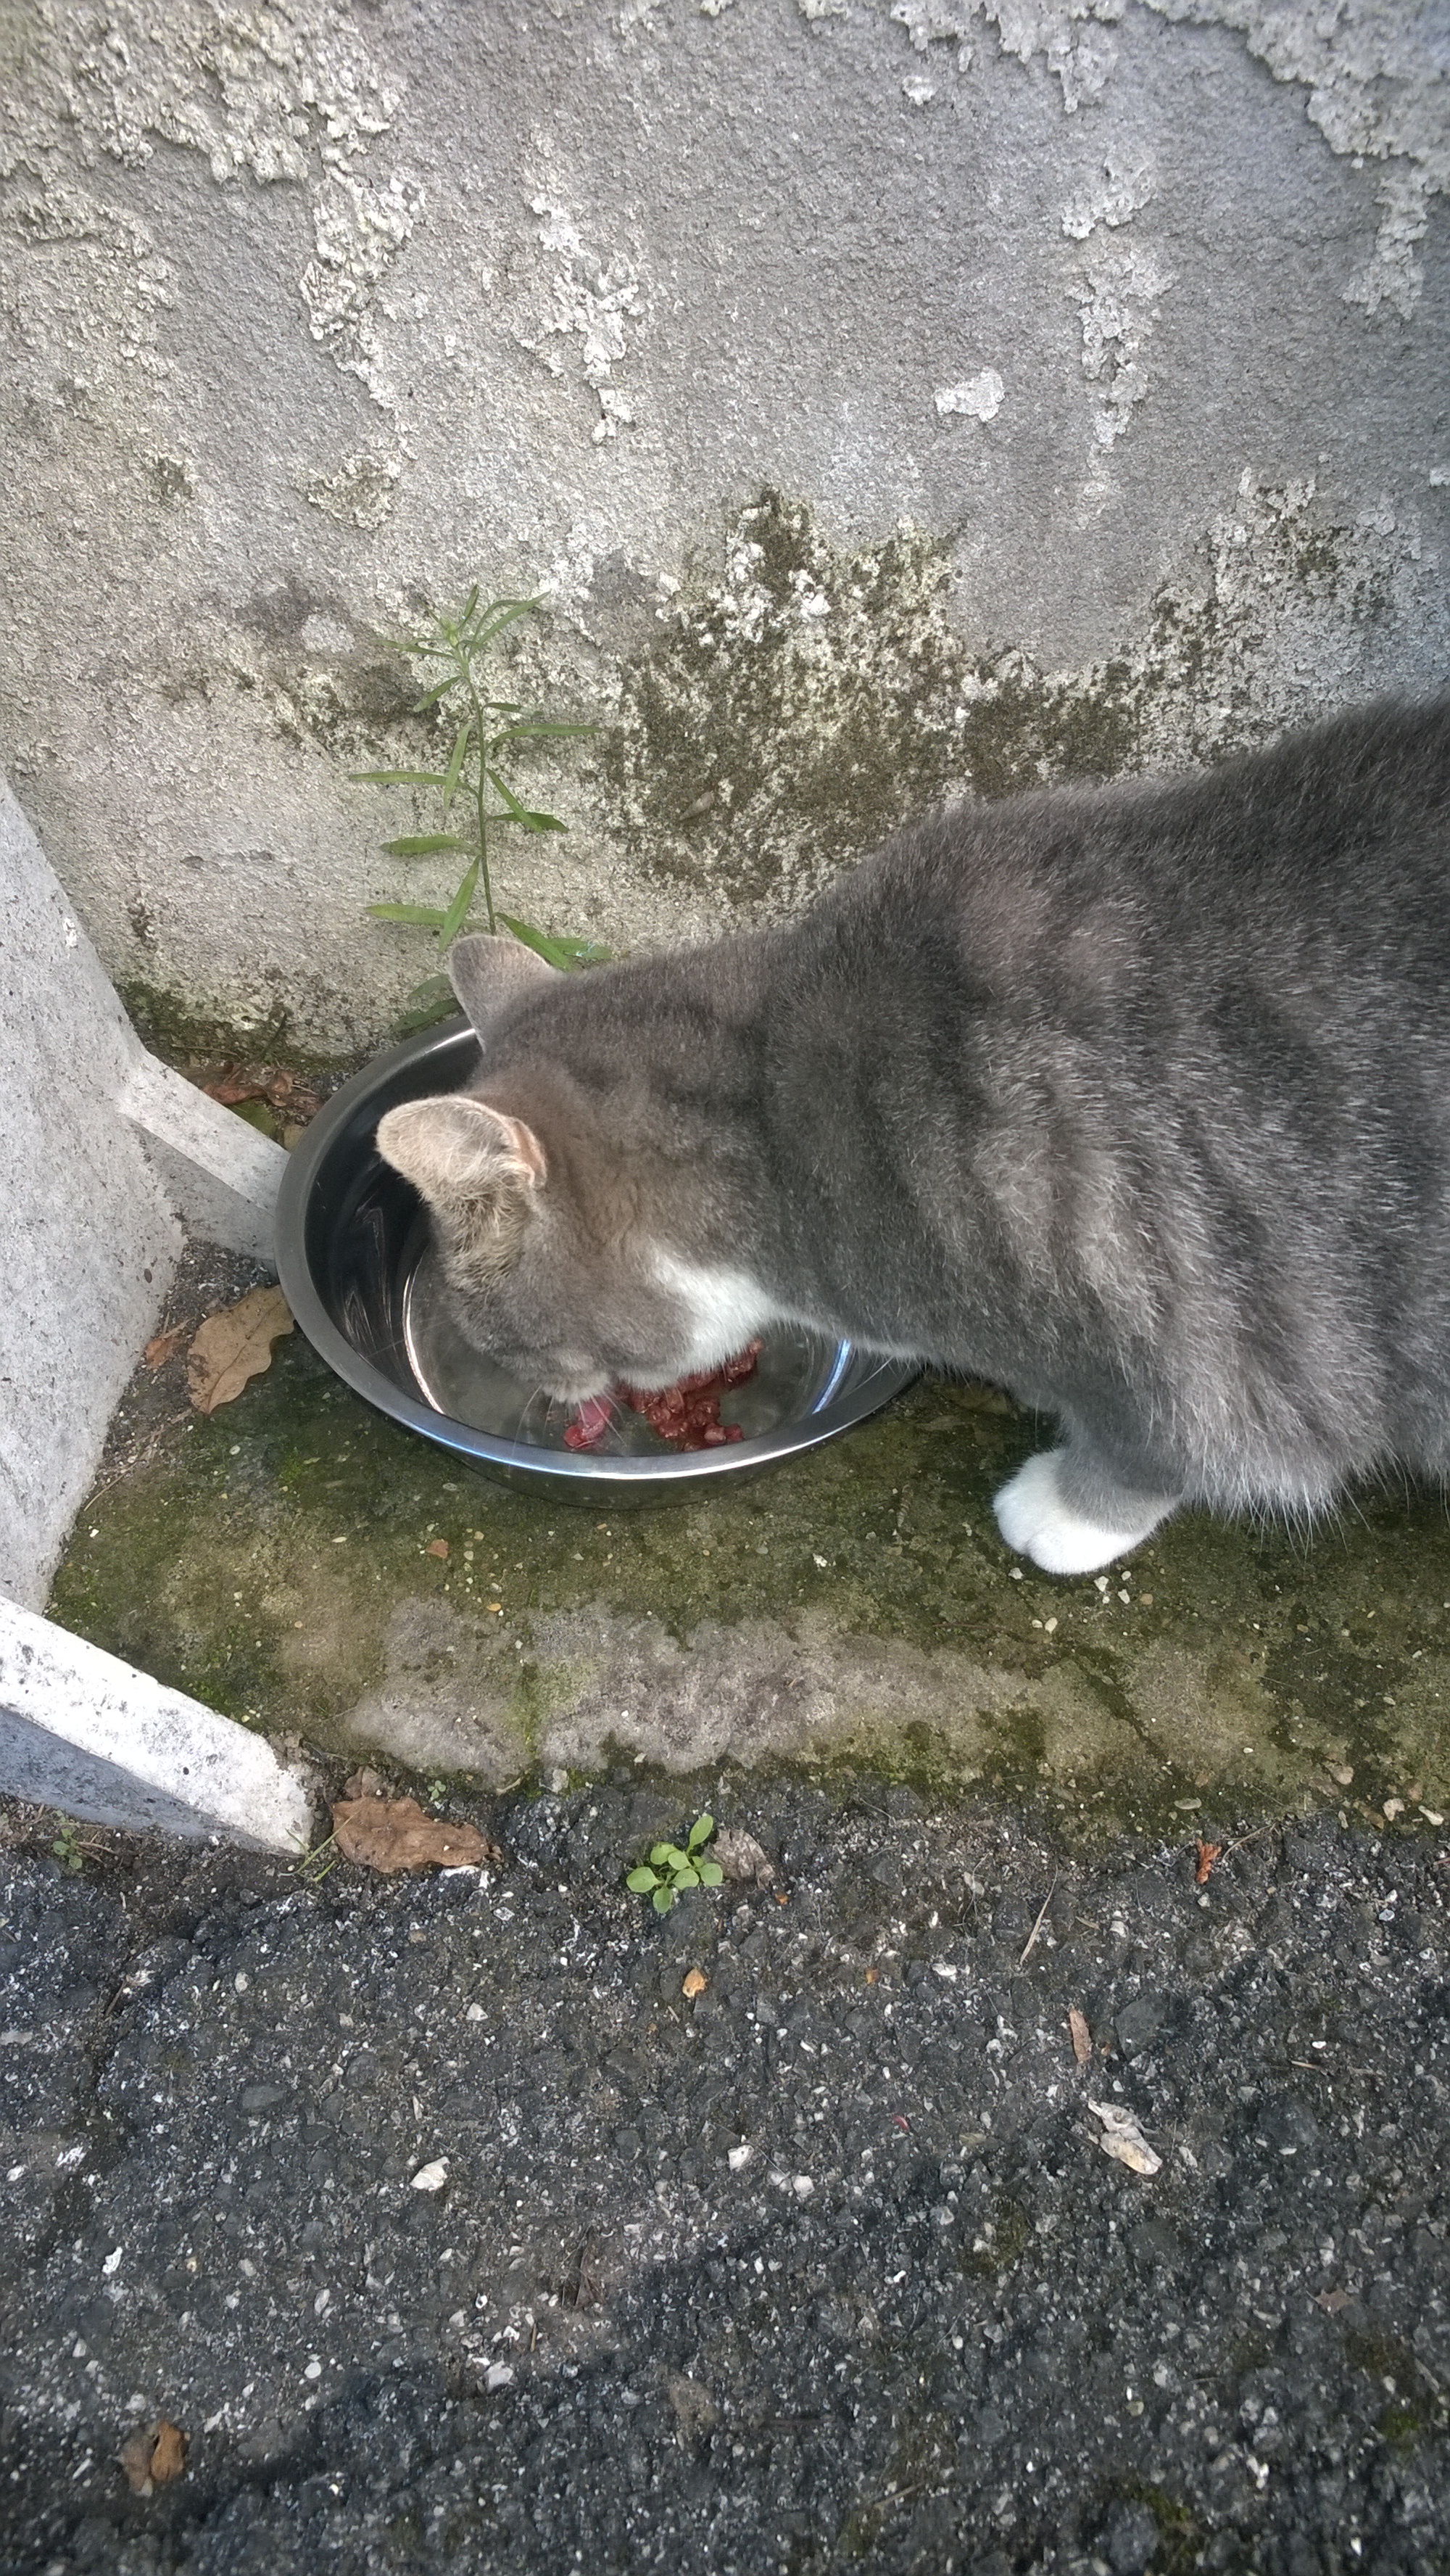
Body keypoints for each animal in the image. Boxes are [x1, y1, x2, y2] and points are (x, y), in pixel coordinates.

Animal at [376, 696, 1450, 1576]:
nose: (550, 1402)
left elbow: (1164, 1442)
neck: (775, 1107)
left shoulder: (1198, 1336)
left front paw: (1065, 1514)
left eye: (499, 1334)